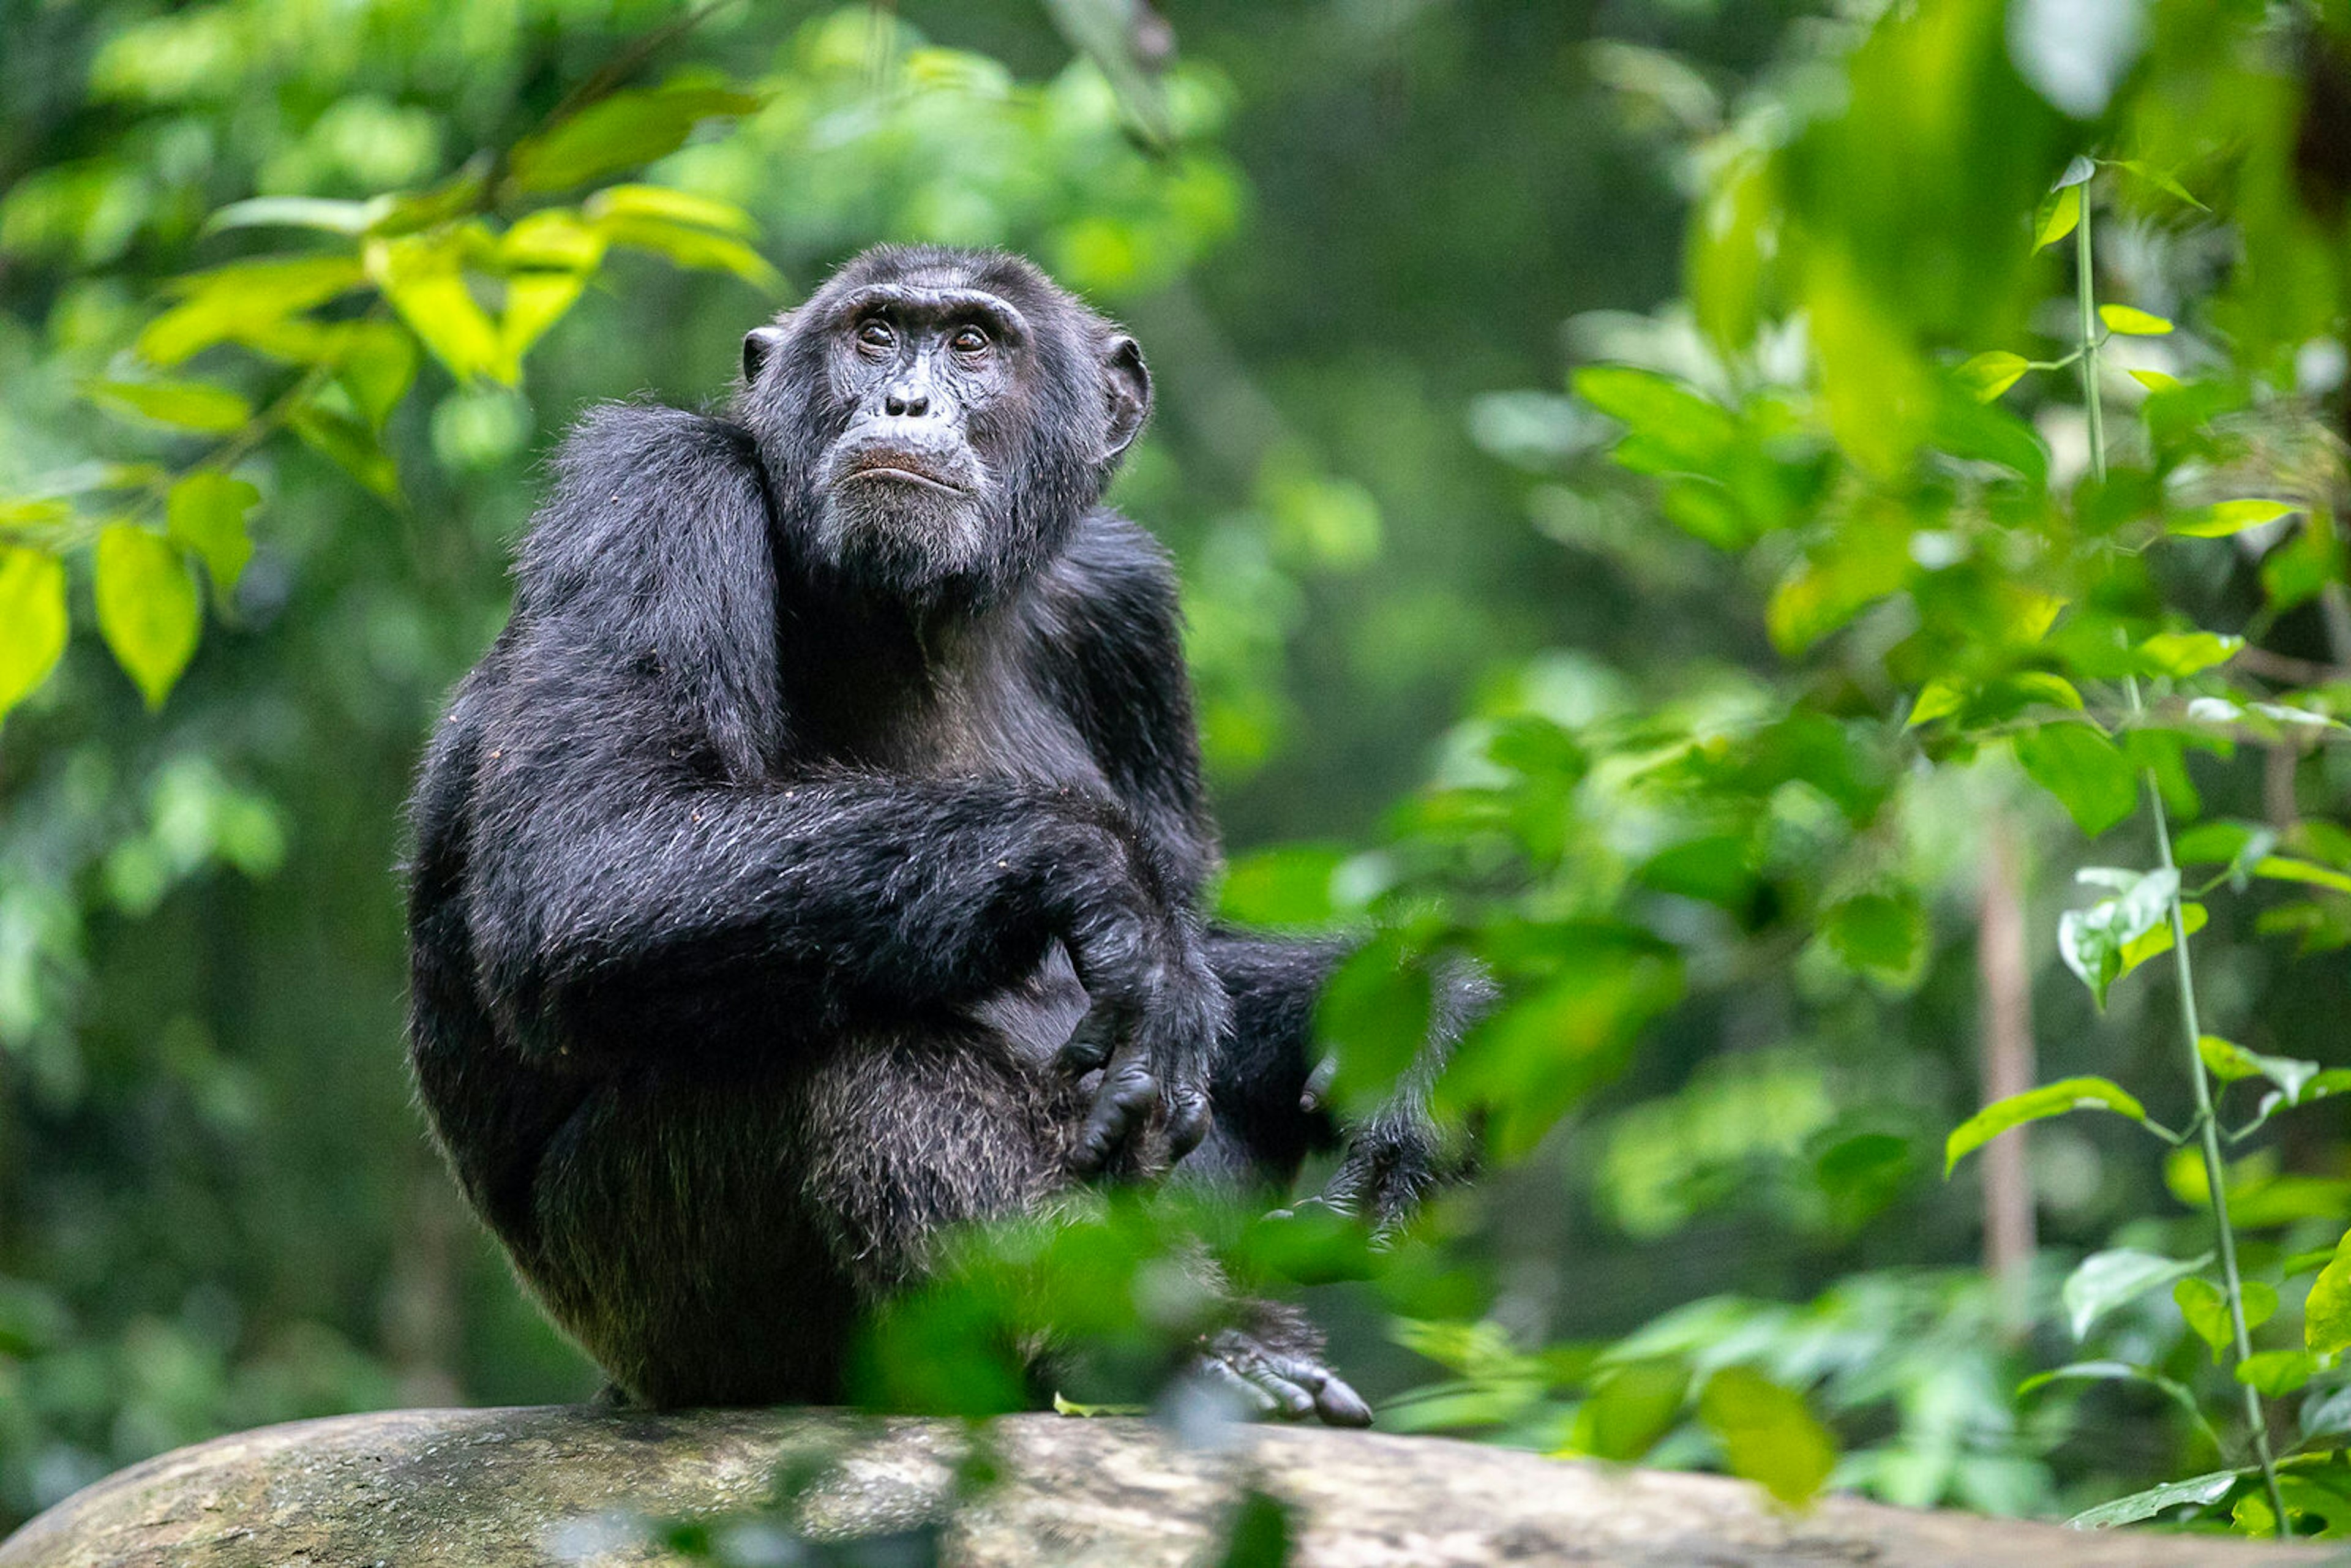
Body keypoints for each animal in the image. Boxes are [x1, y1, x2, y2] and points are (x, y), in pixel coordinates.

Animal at [404, 242, 1467, 1420]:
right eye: (874, 334)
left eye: (971, 343)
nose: (904, 400)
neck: (925, 618)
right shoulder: (650, 494)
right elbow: (586, 856)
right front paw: (1102, 885)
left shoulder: (1126, 608)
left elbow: (1202, 938)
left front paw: (1425, 1023)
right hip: (666, 1303)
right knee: (861, 1052)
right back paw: (1191, 1353)